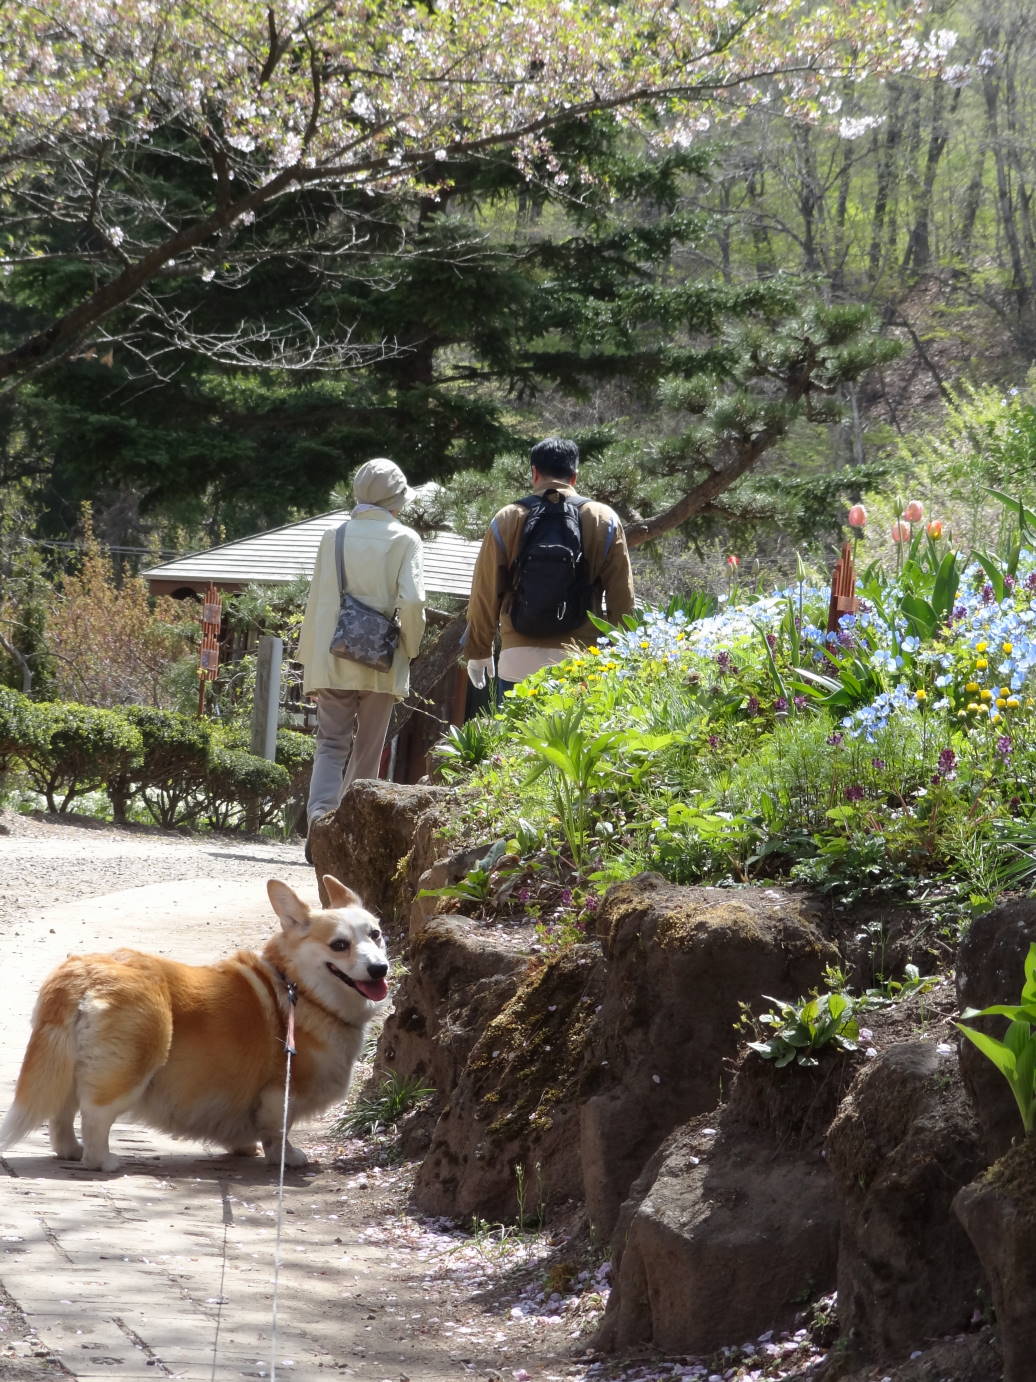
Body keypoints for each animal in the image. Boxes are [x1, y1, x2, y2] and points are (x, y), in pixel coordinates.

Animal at [0, 873, 389, 1166]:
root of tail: (82, 973)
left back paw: (70, 1151)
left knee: (61, 1112)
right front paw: (288, 1158)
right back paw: (104, 1162)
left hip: (67, 1063)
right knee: (95, 1114)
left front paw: (244, 1148)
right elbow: (279, 1132)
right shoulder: (281, 1092)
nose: (380, 969)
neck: (300, 989)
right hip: (131, 1067)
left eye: (376, 935)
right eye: (339, 945)